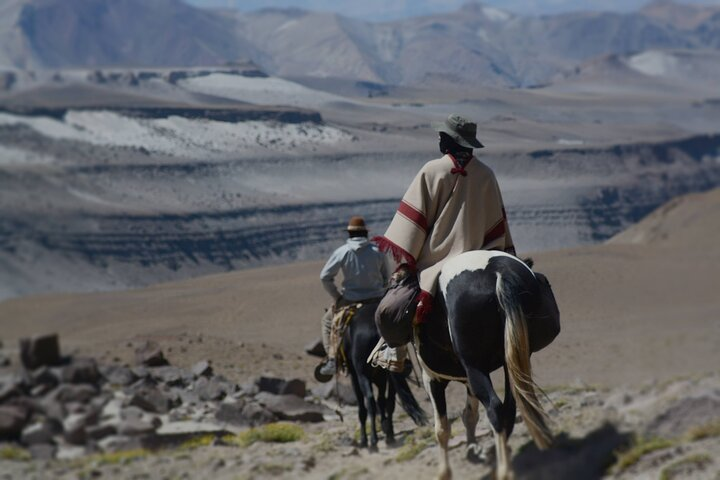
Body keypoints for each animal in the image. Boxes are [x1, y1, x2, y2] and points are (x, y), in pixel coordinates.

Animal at [340, 300, 424, 450]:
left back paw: (373, 440)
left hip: (362, 375)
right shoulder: (382, 379)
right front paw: (386, 429)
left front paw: (364, 439)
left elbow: (363, 407)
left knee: (370, 401)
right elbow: (384, 402)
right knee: (387, 402)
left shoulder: (355, 377)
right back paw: (389, 435)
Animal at [416, 251, 564, 480]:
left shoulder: (432, 378)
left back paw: (504, 470)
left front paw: (444, 472)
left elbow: (442, 428)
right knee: (510, 408)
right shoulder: (466, 378)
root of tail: (499, 271)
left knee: (495, 408)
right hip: (510, 363)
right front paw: (473, 450)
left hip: (475, 368)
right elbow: (469, 415)